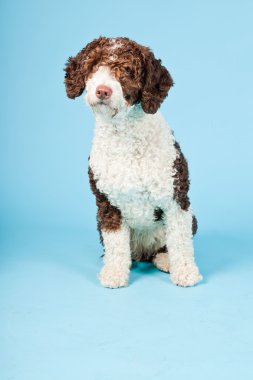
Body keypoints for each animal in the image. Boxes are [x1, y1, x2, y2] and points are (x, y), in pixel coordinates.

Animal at [64, 37, 203, 288]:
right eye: (93, 66)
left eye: (128, 70)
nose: (103, 91)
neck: (125, 138)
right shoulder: (107, 206)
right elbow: (115, 245)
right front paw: (114, 273)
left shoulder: (176, 200)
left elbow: (180, 241)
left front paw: (186, 272)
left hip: (191, 217)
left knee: (166, 246)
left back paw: (165, 260)